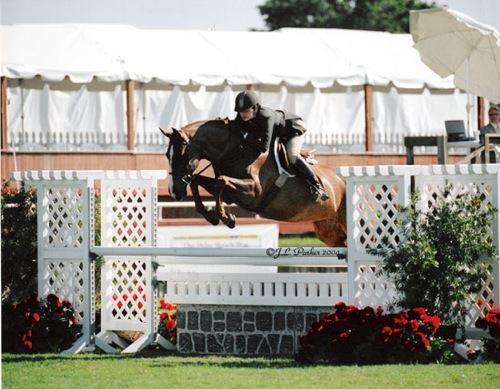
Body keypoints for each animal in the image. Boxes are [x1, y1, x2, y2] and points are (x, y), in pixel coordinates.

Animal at [161, 119, 348, 246]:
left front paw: (226, 218)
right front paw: (212, 216)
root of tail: (343, 181)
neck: (234, 151)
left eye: (181, 154)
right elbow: (198, 182)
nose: (174, 192)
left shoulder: (254, 192)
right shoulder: (231, 195)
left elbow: (221, 181)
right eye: (167, 155)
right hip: (328, 232)